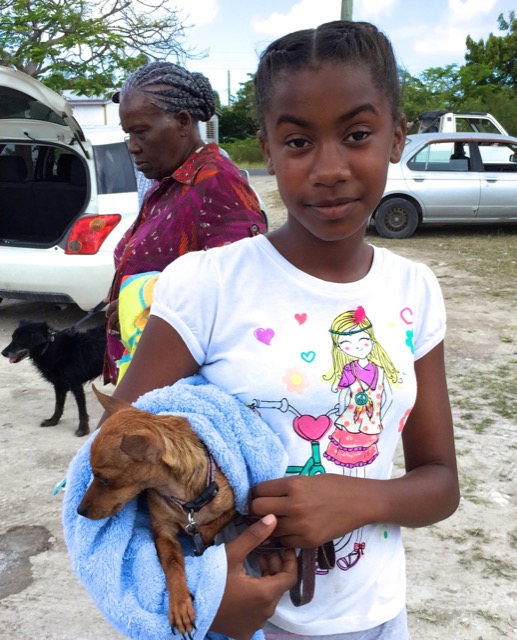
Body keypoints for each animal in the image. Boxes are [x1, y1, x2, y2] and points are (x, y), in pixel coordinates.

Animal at [76, 388, 236, 636]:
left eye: (105, 480)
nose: (79, 510)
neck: (185, 501)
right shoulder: (163, 532)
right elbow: (173, 563)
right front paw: (179, 603)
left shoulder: (234, 507)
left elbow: (214, 525)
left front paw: (204, 538)